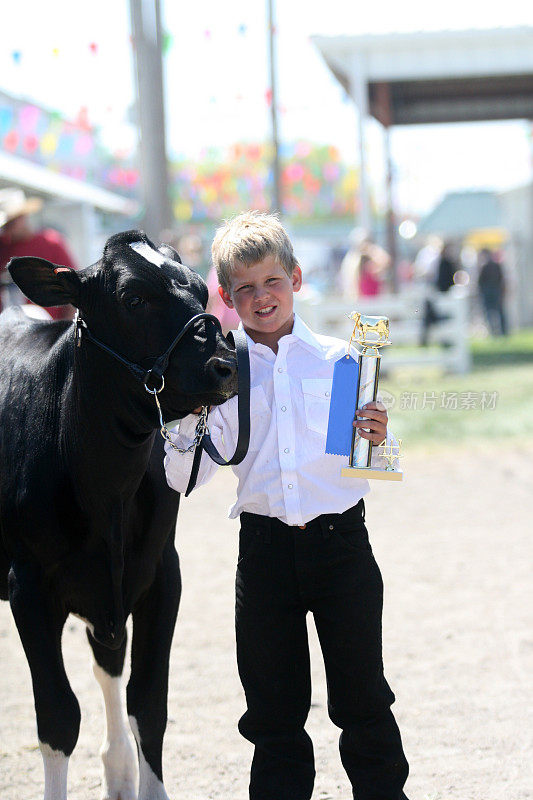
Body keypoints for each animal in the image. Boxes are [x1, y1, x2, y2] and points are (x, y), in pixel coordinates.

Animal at [0, 231, 237, 800]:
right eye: (133, 298)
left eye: (202, 290)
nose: (226, 364)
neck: (105, 491)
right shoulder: (28, 586)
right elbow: (58, 716)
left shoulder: (160, 574)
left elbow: (148, 703)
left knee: (109, 662)